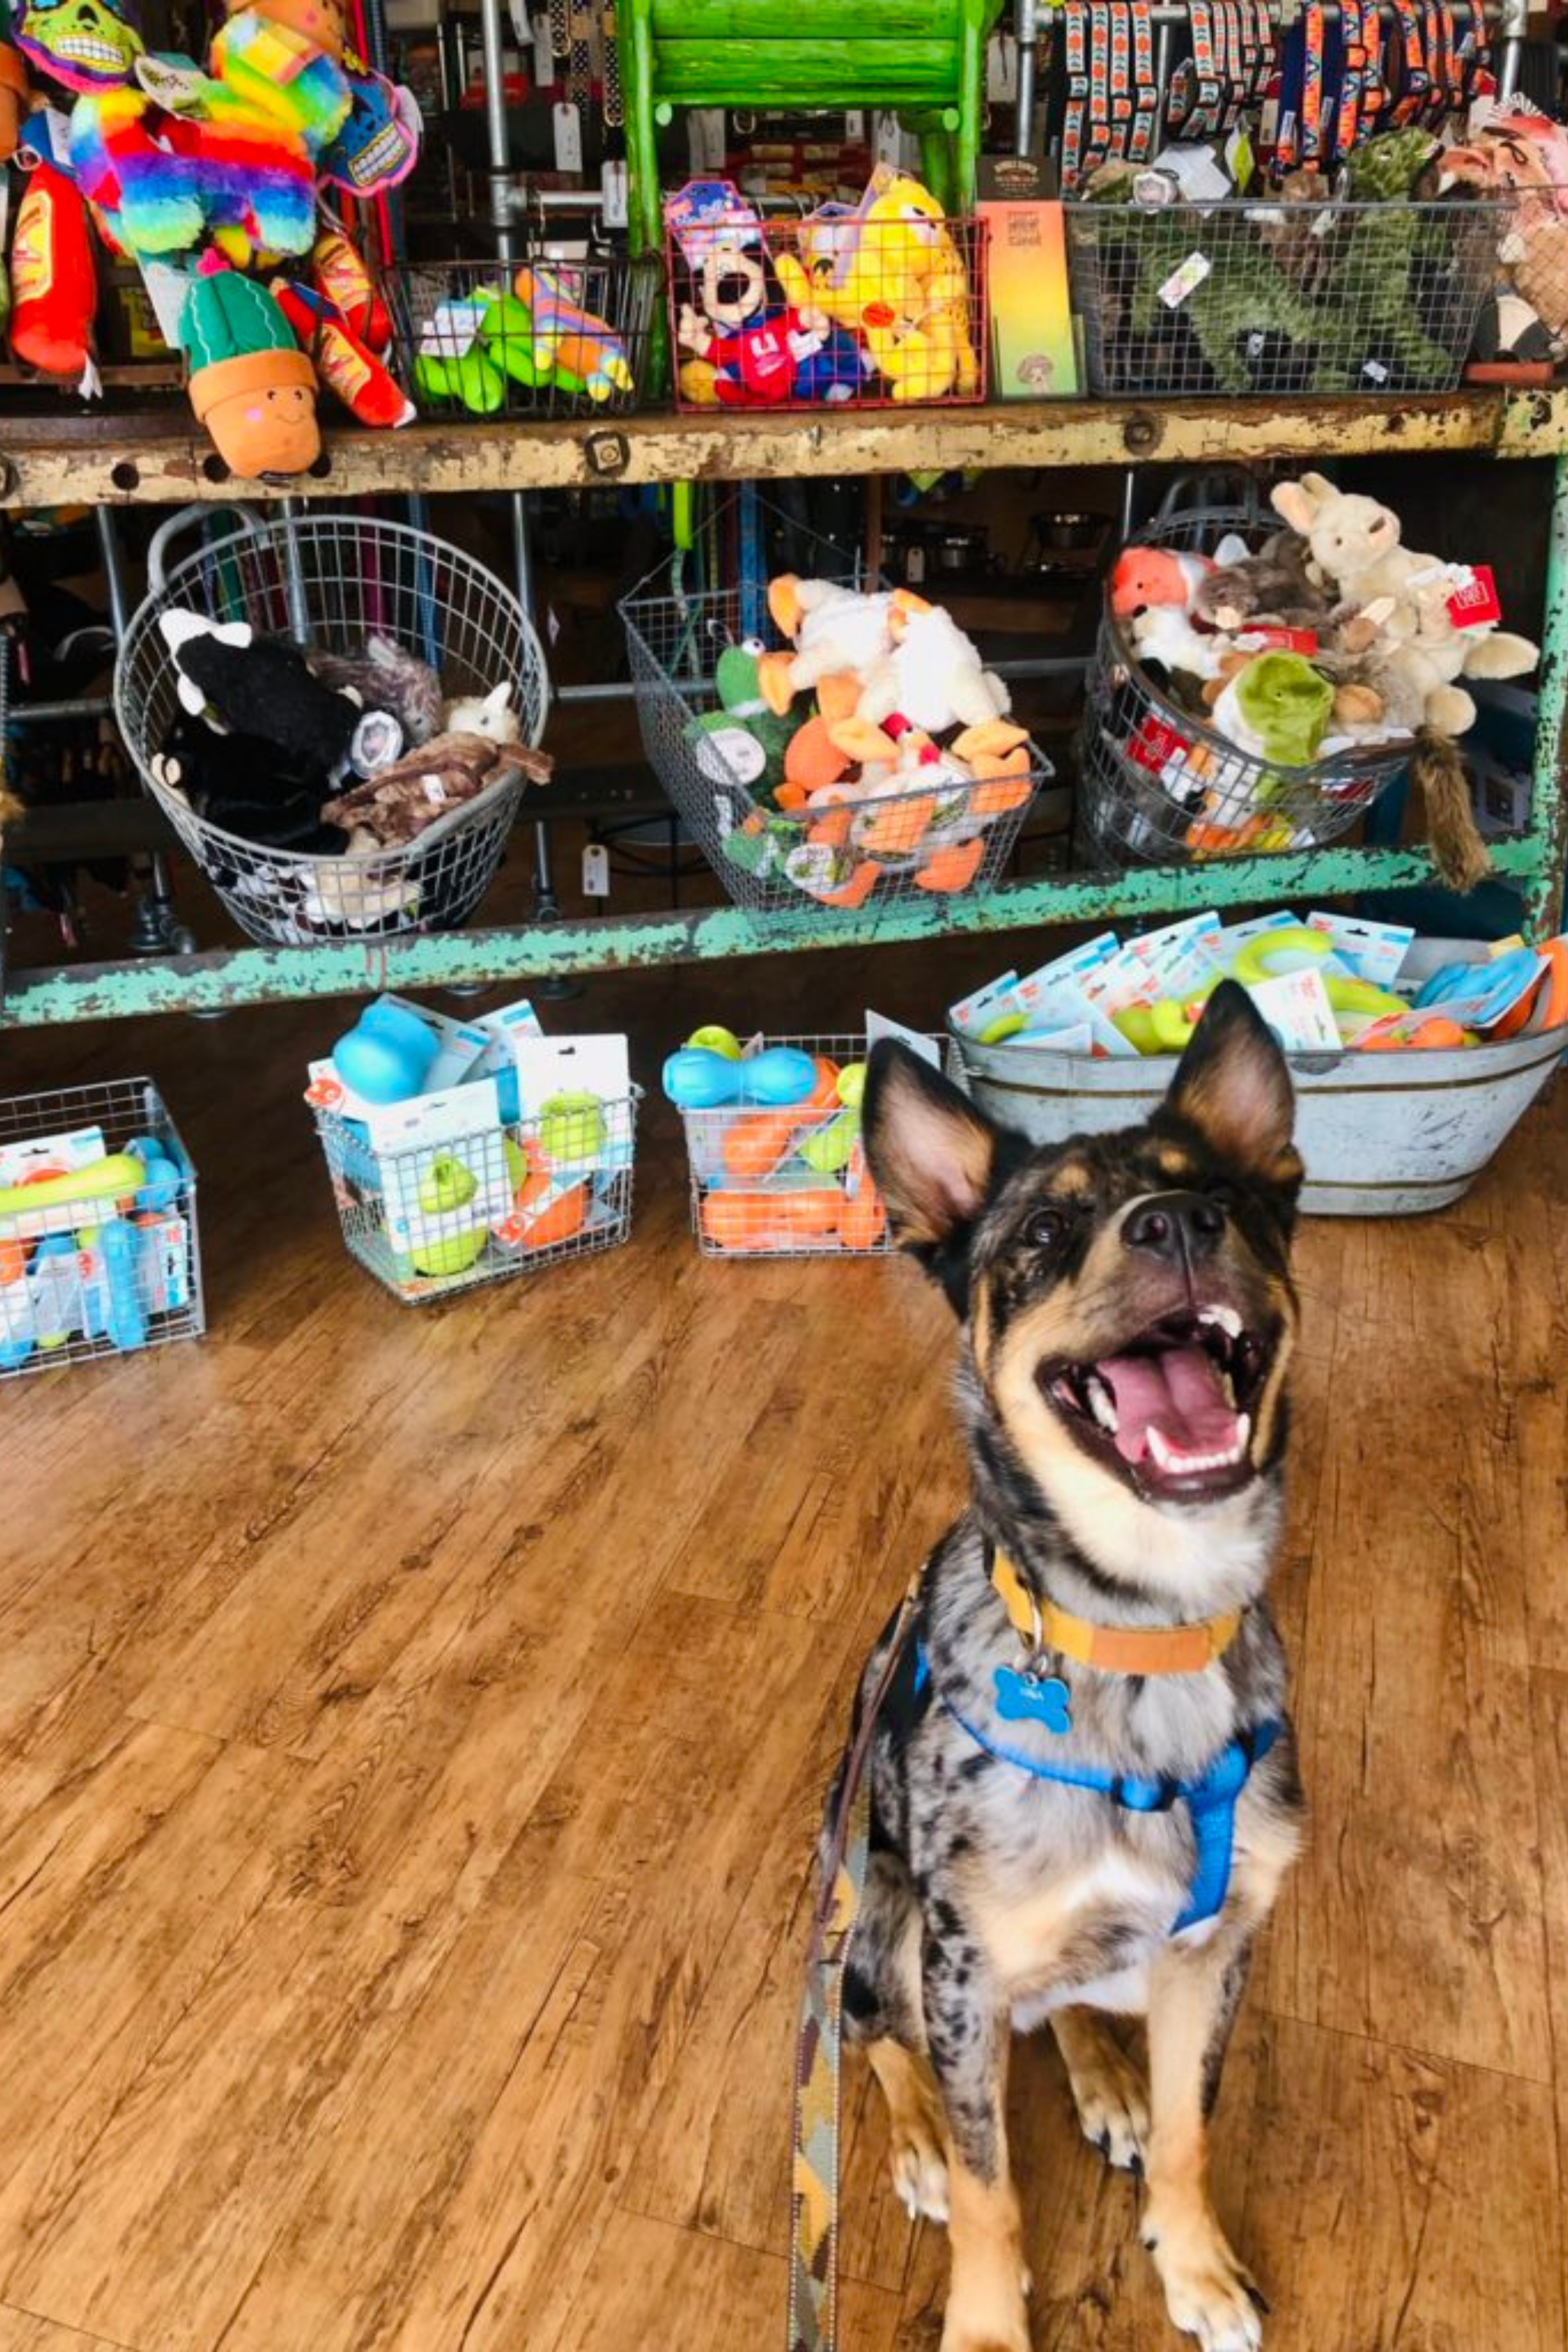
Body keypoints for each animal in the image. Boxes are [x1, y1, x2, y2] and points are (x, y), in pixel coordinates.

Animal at [832, 983, 1316, 2352]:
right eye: (1044, 1230)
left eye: (1226, 1193)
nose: (1182, 1222)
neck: (1142, 1631)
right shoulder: (956, 1968)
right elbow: (993, 2190)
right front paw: (988, 2325)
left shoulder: (1214, 1948)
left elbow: (1196, 2127)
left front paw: (1197, 2265)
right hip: (883, 1928)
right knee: (882, 2039)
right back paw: (919, 2139)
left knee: (1071, 2011)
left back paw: (1106, 2078)